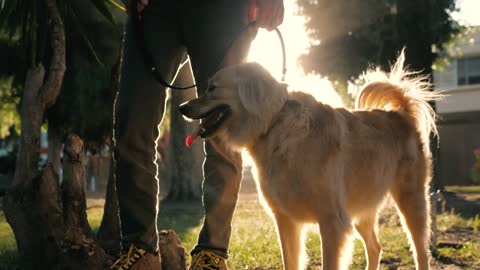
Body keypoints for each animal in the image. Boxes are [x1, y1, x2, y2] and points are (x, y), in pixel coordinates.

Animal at [180, 53, 442, 270]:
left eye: (212, 88)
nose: (182, 107)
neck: (274, 123)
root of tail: (401, 115)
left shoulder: (332, 222)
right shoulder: (286, 221)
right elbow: (291, 262)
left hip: (411, 201)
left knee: (421, 252)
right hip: (361, 210)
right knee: (375, 247)